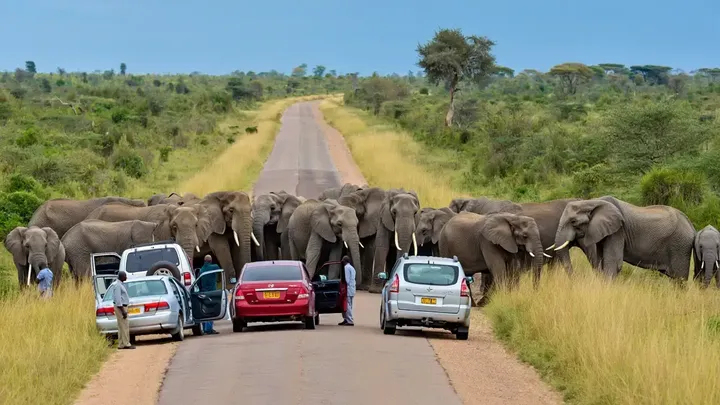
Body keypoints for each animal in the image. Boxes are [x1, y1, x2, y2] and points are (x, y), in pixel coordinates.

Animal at [553, 196, 696, 280]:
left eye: (573, 222)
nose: (576, 277)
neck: (592, 201)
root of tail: (691, 225)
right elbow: (600, 261)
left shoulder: (618, 231)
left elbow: (613, 264)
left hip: (680, 246)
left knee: (679, 278)